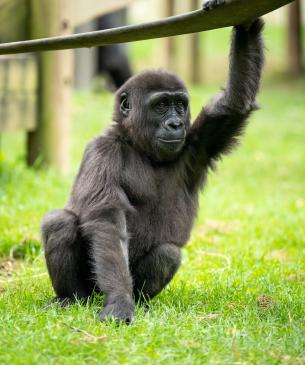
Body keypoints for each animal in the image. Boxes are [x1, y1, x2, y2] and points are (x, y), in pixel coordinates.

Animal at [41, 17, 264, 322]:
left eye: (179, 105)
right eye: (160, 106)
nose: (175, 124)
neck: (136, 143)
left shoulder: (196, 144)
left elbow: (234, 103)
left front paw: (244, 23)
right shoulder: (102, 150)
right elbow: (106, 218)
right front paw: (119, 300)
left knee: (168, 252)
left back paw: (141, 300)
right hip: (93, 287)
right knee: (59, 223)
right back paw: (71, 297)